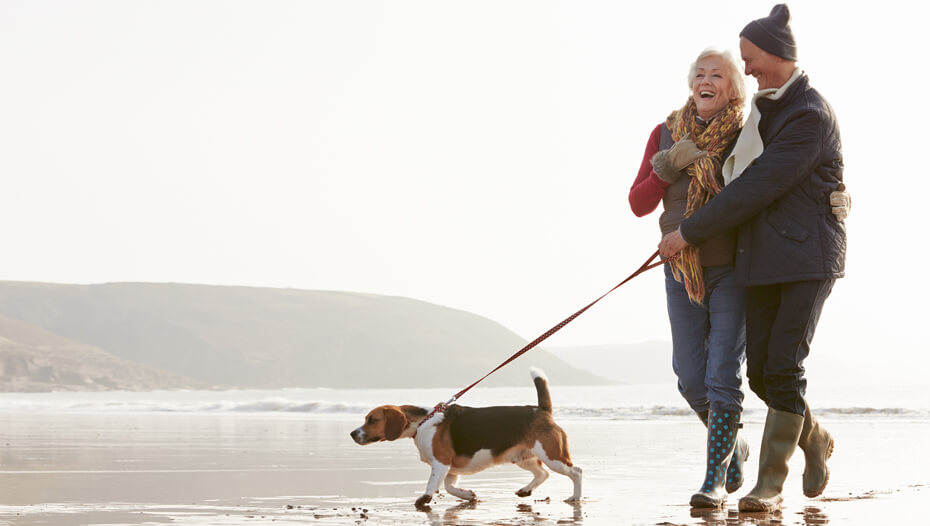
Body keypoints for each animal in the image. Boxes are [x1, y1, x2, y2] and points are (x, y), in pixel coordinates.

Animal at [348, 370, 580, 510]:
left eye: (372, 420)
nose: (352, 434)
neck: (423, 421)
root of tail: (541, 410)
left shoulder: (441, 463)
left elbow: (433, 484)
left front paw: (424, 499)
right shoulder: (450, 469)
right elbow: (449, 487)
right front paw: (468, 495)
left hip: (552, 455)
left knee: (576, 472)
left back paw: (575, 497)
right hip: (523, 457)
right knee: (542, 474)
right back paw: (526, 490)